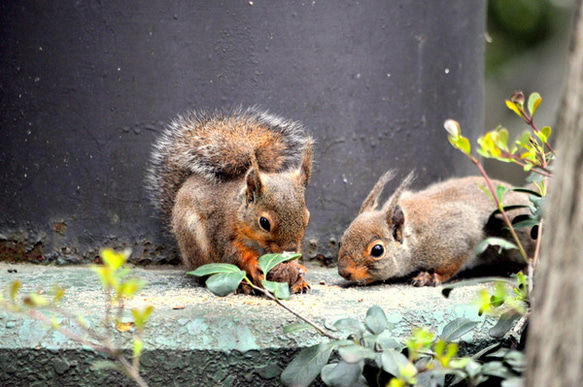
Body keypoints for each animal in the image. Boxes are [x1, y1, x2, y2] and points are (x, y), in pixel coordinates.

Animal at [148, 107, 318, 294]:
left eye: (307, 217)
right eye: (264, 222)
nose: (290, 251)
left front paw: (298, 271)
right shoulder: (223, 233)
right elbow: (234, 254)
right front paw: (255, 268)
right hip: (198, 247)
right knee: (207, 274)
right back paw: (242, 284)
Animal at [340, 171, 536, 286]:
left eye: (377, 250)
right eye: (341, 241)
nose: (343, 272)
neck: (417, 237)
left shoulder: (458, 237)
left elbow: (451, 266)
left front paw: (430, 277)